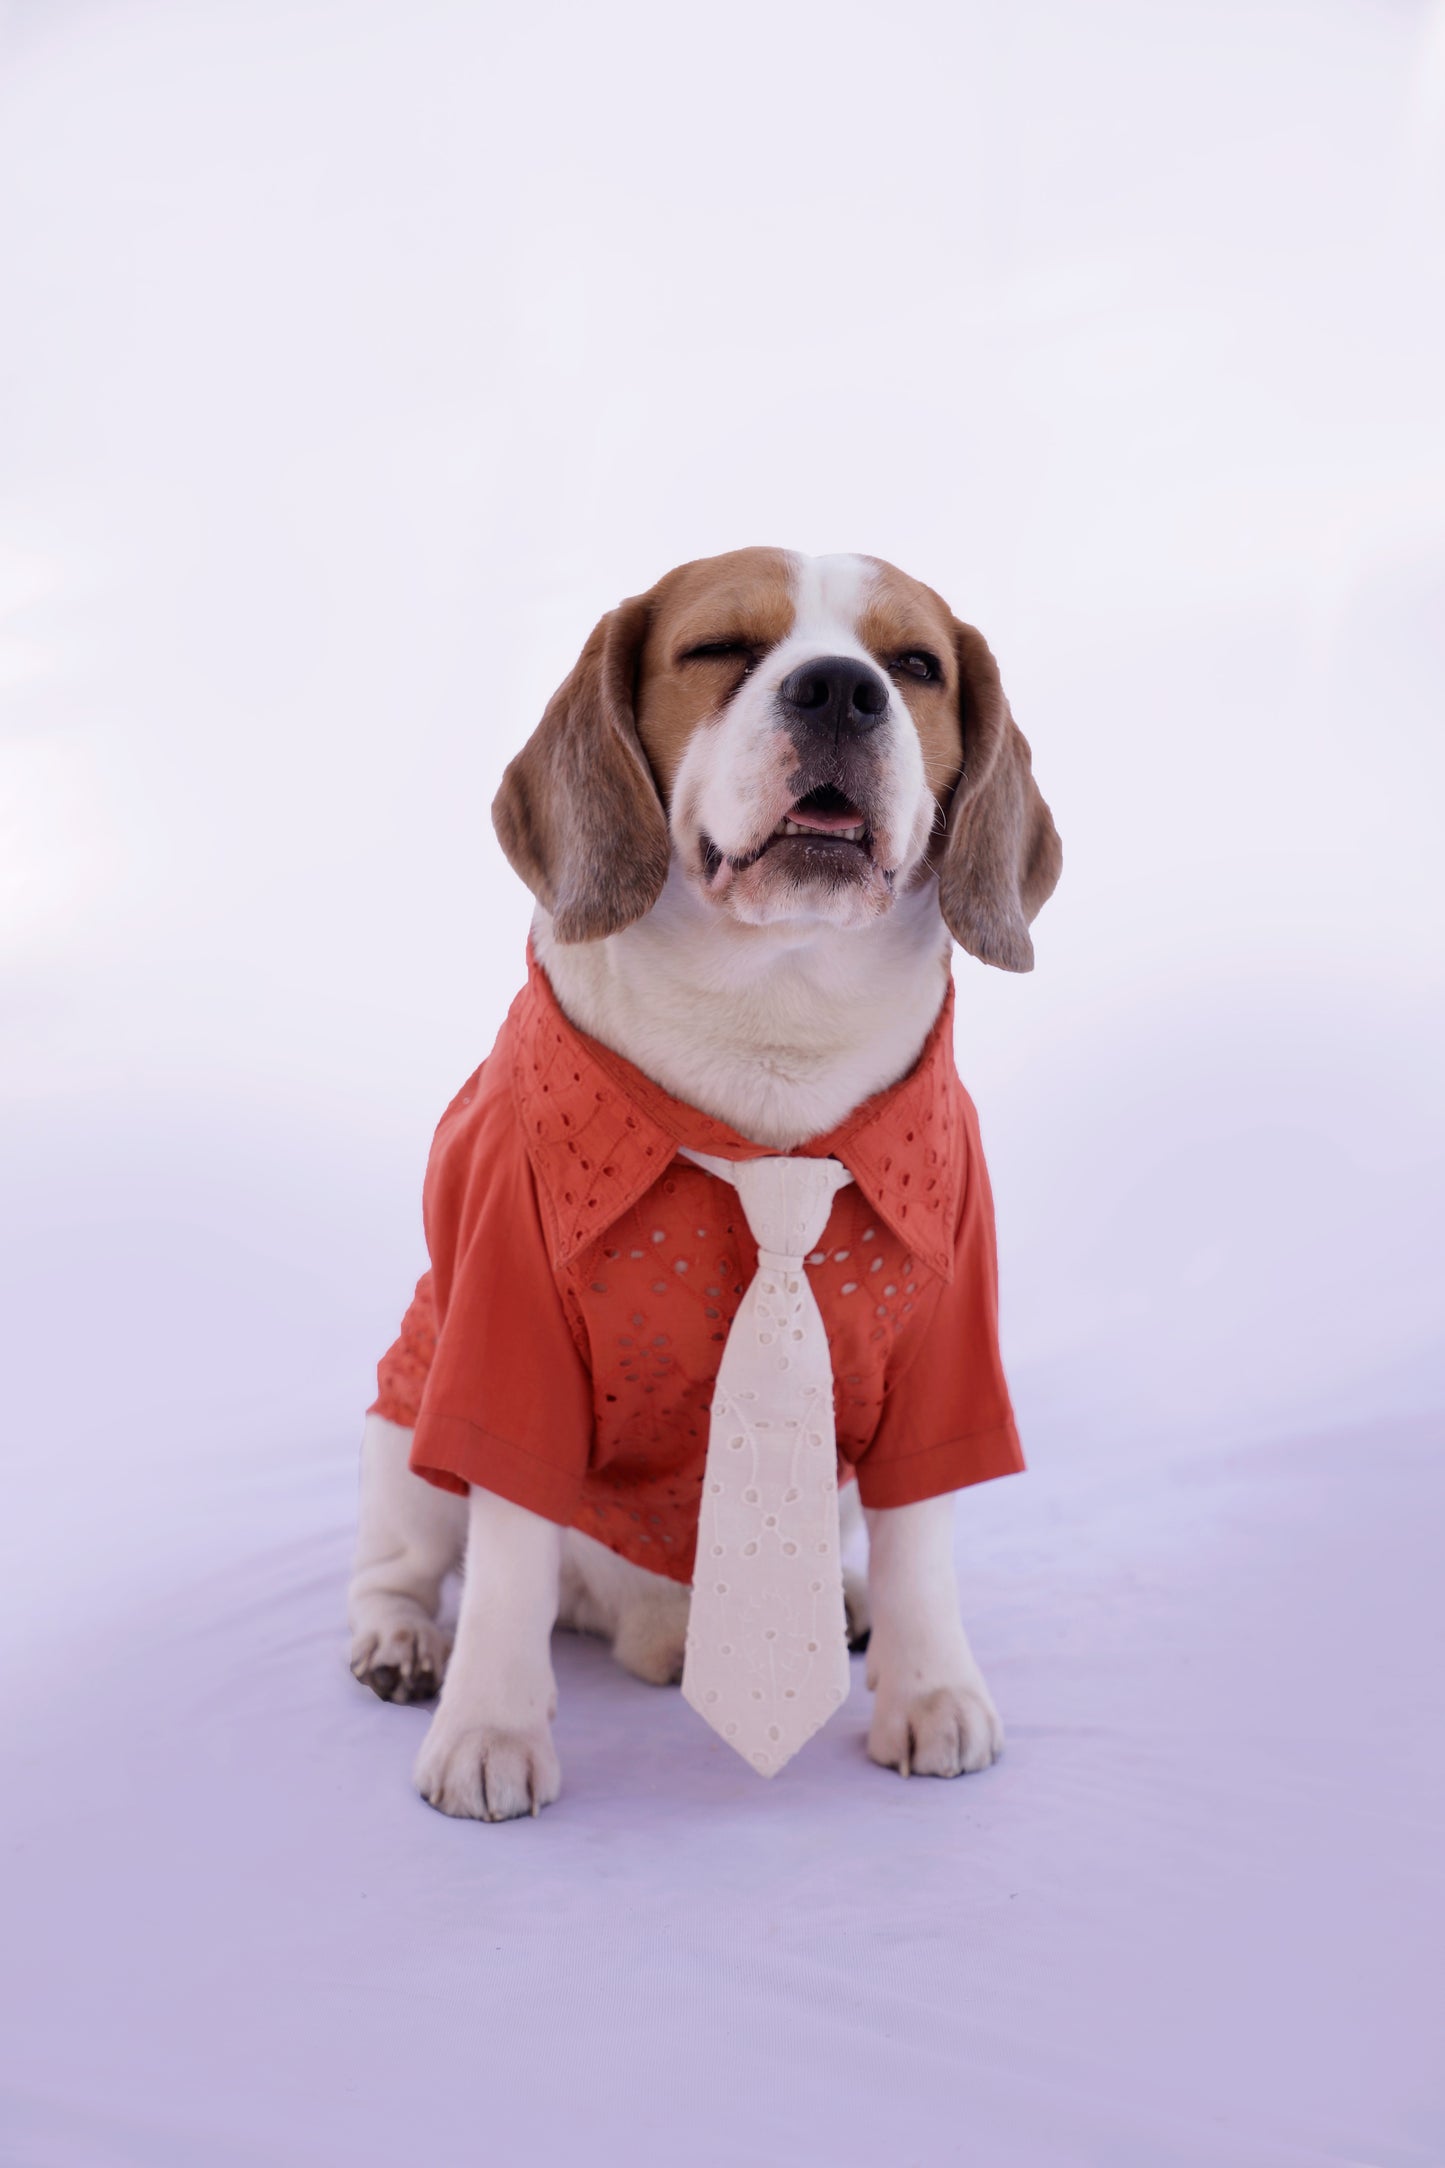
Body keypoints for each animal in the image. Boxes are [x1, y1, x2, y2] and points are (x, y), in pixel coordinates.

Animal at [346, 550, 1061, 1821]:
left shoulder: (943, 1347)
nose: (841, 689)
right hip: (406, 1417)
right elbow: (507, 1560)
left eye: (914, 663)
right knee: (408, 1563)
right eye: (720, 646)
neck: (772, 1023)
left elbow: (920, 1536)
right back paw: (401, 1640)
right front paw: (488, 1725)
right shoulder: (504, 1335)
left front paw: (929, 1687)